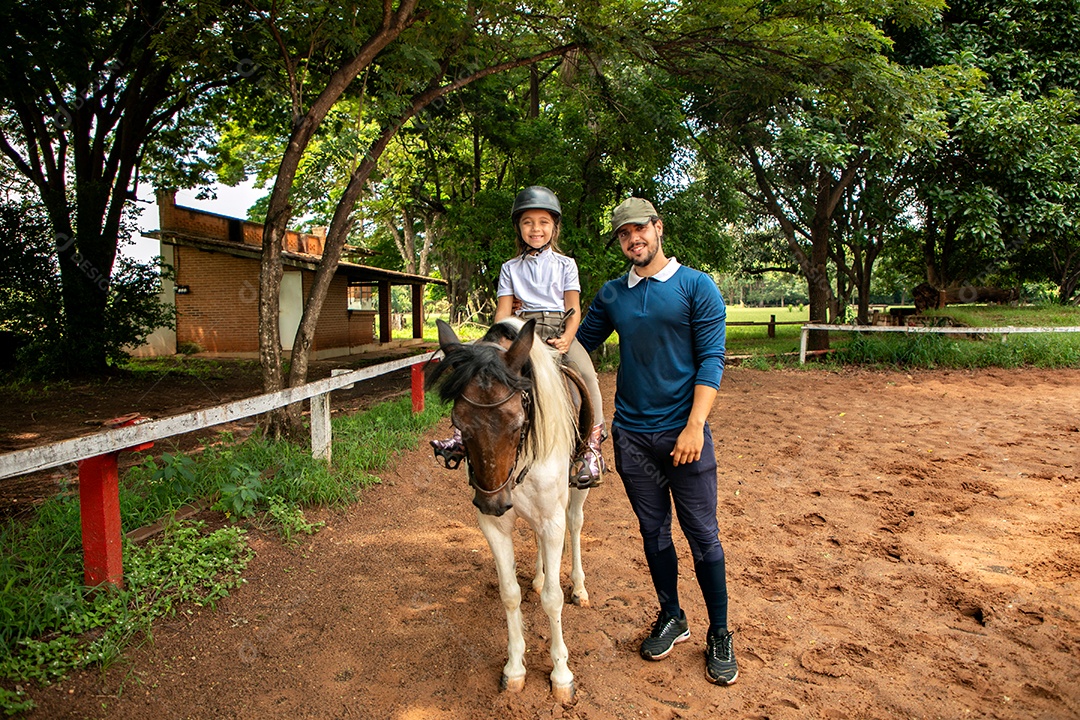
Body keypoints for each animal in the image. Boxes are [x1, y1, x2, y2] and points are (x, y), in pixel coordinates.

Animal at [428, 317, 590, 702]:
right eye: (459, 422)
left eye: (518, 422)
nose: (494, 502)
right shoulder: (493, 525)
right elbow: (509, 593)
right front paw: (514, 668)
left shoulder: (552, 519)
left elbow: (553, 600)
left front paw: (561, 674)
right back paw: (540, 575)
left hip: (576, 492)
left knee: (575, 526)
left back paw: (579, 587)